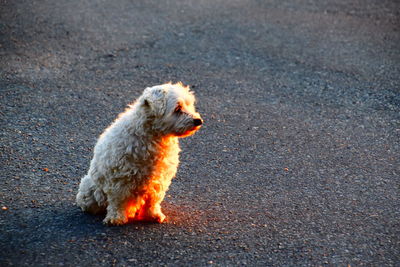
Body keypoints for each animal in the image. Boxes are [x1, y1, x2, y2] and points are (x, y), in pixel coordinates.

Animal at [76, 82, 203, 225]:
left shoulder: (158, 179)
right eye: (177, 108)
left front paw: (152, 215)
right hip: (90, 189)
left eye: (189, 105)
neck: (153, 136)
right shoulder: (119, 178)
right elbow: (117, 200)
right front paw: (116, 218)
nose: (198, 120)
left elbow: (153, 200)